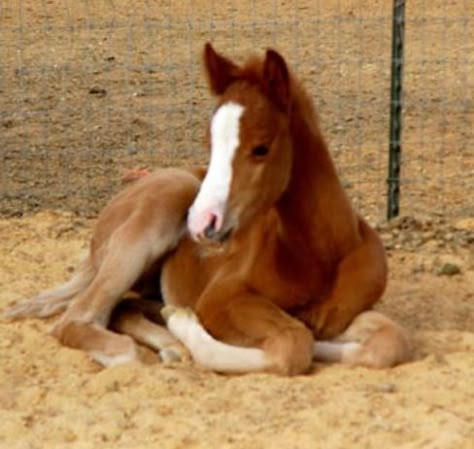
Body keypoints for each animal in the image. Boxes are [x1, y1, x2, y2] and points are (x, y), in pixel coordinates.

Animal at [5, 44, 410, 374]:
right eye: (209, 142)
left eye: (261, 147)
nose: (201, 223)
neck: (317, 255)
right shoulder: (221, 298)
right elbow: (293, 345)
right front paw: (187, 326)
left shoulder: (340, 314)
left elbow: (387, 339)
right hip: (159, 213)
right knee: (77, 320)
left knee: (124, 308)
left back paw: (168, 339)